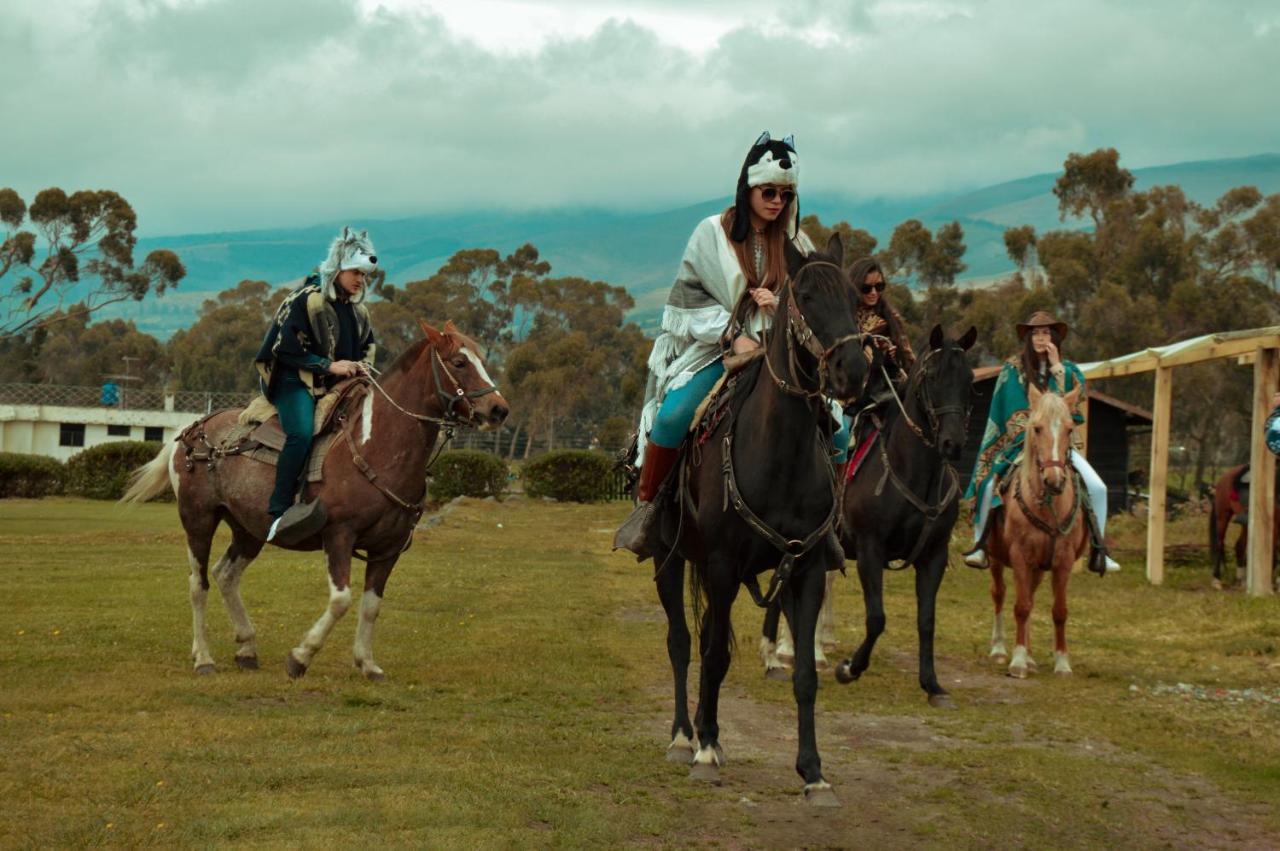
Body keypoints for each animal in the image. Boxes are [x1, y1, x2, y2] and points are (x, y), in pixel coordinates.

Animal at [122, 322, 506, 680]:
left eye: (482, 360)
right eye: (459, 362)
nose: (498, 409)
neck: (376, 445)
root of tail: (190, 430)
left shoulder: (388, 548)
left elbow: (371, 606)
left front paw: (367, 663)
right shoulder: (339, 536)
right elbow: (341, 600)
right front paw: (300, 657)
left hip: (248, 530)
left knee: (225, 575)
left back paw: (247, 648)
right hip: (198, 519)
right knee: (198, 584)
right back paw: (203, 658)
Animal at [650, 230, 870, 803]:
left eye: (855, 299)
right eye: (807, 298)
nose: (854, 371)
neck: (778, 455)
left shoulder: (806, 568)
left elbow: (804, 675)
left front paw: (813, 772)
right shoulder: (723, 566)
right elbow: (711, 655)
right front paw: (706, 748)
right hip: (669, 559)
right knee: (682, 643)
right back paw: (683, 735)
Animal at [834, 323, 972, 701]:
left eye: (968, 378)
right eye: (933, 376)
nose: (953, 443)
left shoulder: (934, 556)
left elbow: (927, 620)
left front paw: (932, 683)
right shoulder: (869, 550)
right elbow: (877, 617)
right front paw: (849, 668)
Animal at [983, 381, 1085, 680]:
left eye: (1068, 429)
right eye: (1037, 428)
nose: (1054, 480)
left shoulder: (1062, 560)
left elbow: (1059, 611)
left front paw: (1061, 663)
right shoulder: (1019, 556)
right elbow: (1021, 606)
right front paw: (1017, 661)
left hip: (1039, 567)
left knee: (1029, 595)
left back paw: (1029, 656)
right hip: (996, 558)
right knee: (1000, 594)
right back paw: (1000, 649)